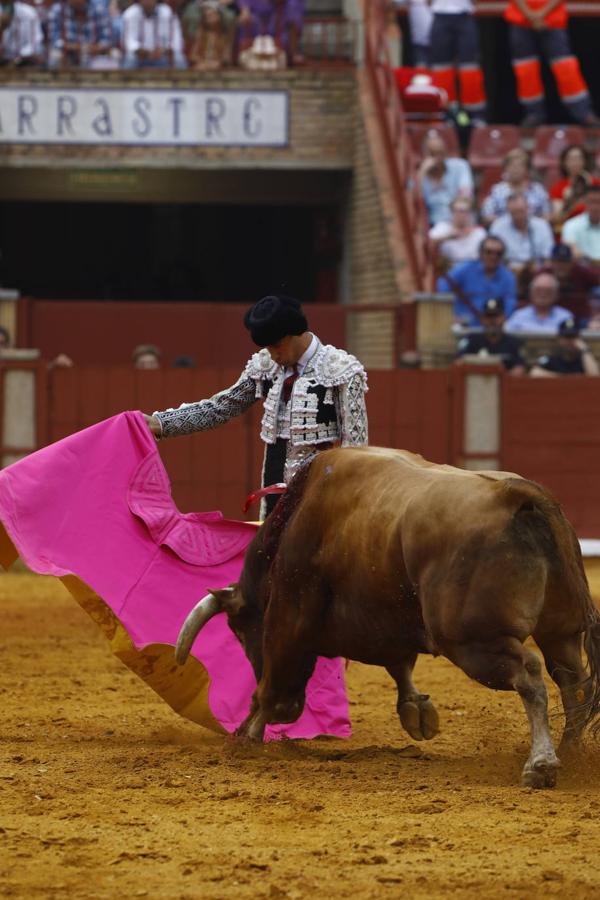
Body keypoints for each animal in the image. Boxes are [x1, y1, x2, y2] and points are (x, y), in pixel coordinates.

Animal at [173, 450, 600, 788]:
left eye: (242, 633)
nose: (296, 708)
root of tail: (520, 496)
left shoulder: (287, 619)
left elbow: (270, 687)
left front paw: (246, 734)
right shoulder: (384, 622)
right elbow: (399, 664)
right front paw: (416, 710)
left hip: (474, 641)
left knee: (530, 675)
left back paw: (541, 765)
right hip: (560, 630)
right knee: (572, 682)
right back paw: (570, 751)